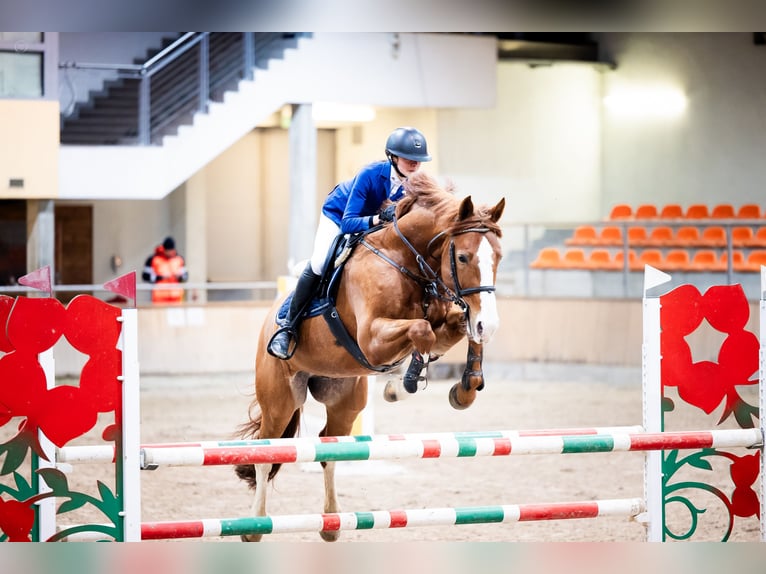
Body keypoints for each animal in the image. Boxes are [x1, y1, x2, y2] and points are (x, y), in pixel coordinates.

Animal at [237, 173, 508, 544]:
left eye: (499, 257)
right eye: (464, 257)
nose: (491, 325)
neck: (405, 259)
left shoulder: (448, 317)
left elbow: (458, 329)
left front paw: (464, 389)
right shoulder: (370, 340)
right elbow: (422, 331)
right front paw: (404, 382)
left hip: (345, 400)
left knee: (328, 449)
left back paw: (332, 524)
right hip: (280, 399)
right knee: (266, 452)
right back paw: (255, 526)